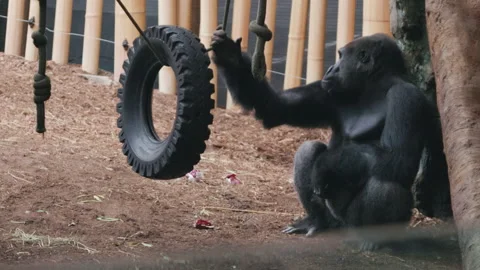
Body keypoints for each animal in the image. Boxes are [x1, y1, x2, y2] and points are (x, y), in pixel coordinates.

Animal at [209, 27, 450, 249]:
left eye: (342, 56)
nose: (331, 68)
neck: (373, 86)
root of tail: (342, 226)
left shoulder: (406, 98)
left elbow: (398, 157)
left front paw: (326, 164)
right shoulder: (328, 90)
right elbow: (274, 107)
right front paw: (229, 55)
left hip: (360, 222)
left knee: (386, 181)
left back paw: (372, 238)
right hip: (334, 217)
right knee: (308, 150)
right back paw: (317, 221)